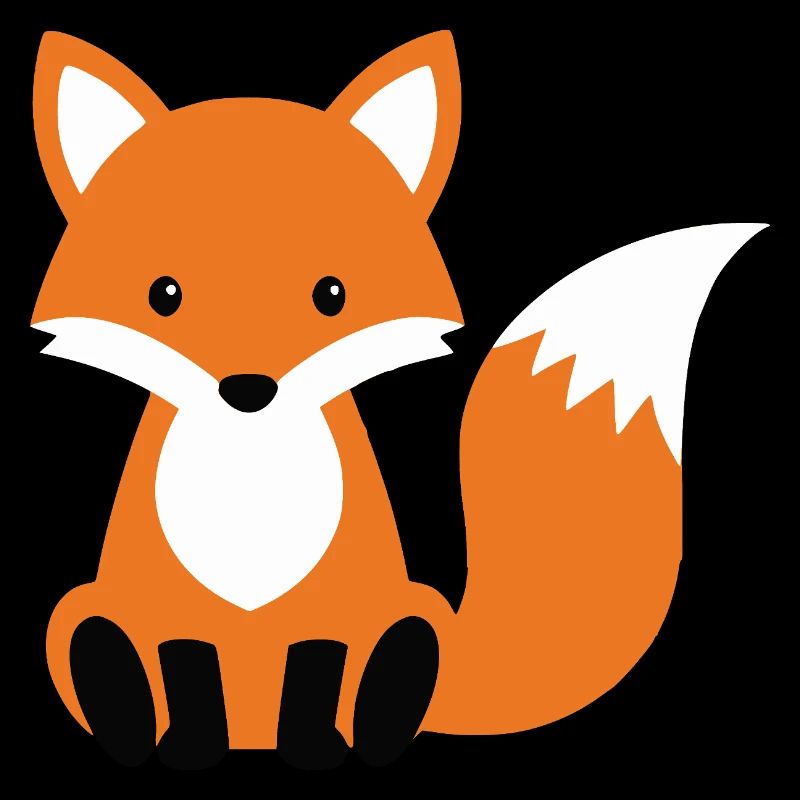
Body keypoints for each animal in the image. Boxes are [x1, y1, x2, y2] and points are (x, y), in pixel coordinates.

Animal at [31, 30, 766, 769]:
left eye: (331, 295)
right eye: (165, 295)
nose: (248, 390)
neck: (254, 477)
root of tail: (252, 736)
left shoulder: (338, 609)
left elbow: (317, 670)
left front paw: (315, 748)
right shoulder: (170, 613)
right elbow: (188, 671)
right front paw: (190, 747)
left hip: (412, 618)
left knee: (399, 664)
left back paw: (371, 735)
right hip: (79, 612)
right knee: (100, 646)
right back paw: (133, 729)